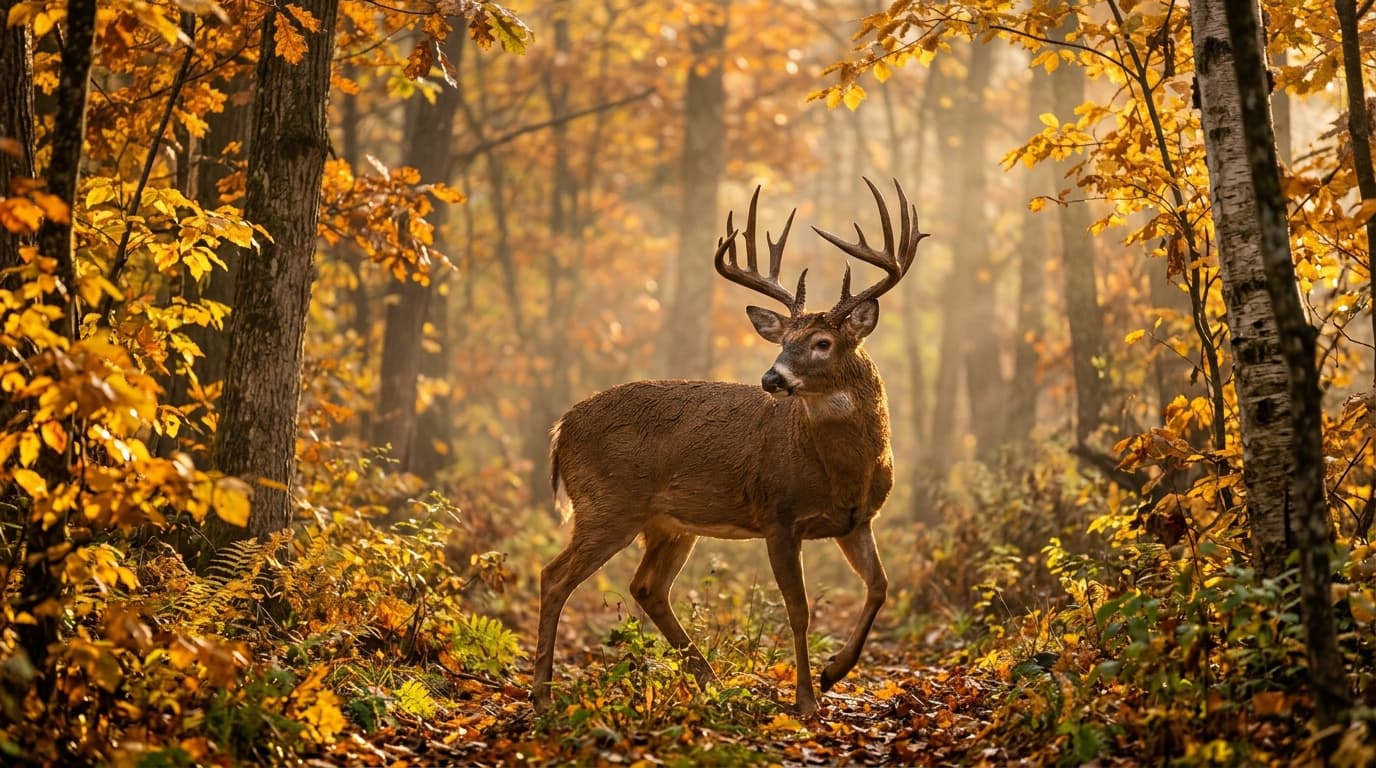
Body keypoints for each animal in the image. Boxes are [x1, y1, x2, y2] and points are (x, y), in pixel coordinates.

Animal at [532, 179, 925, 718]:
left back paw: (711, 682)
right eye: (783, 341)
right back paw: (542, 694)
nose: (771, 378)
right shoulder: (778, 515)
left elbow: (880, 587)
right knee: (554, 576)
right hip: (607, 504)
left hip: (668, 523)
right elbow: (799, 610)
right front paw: (806, 699)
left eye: (822, 342)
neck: (840, 470)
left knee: (647, 587)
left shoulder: (856, 520)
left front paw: (834, 673)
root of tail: (560, 428)